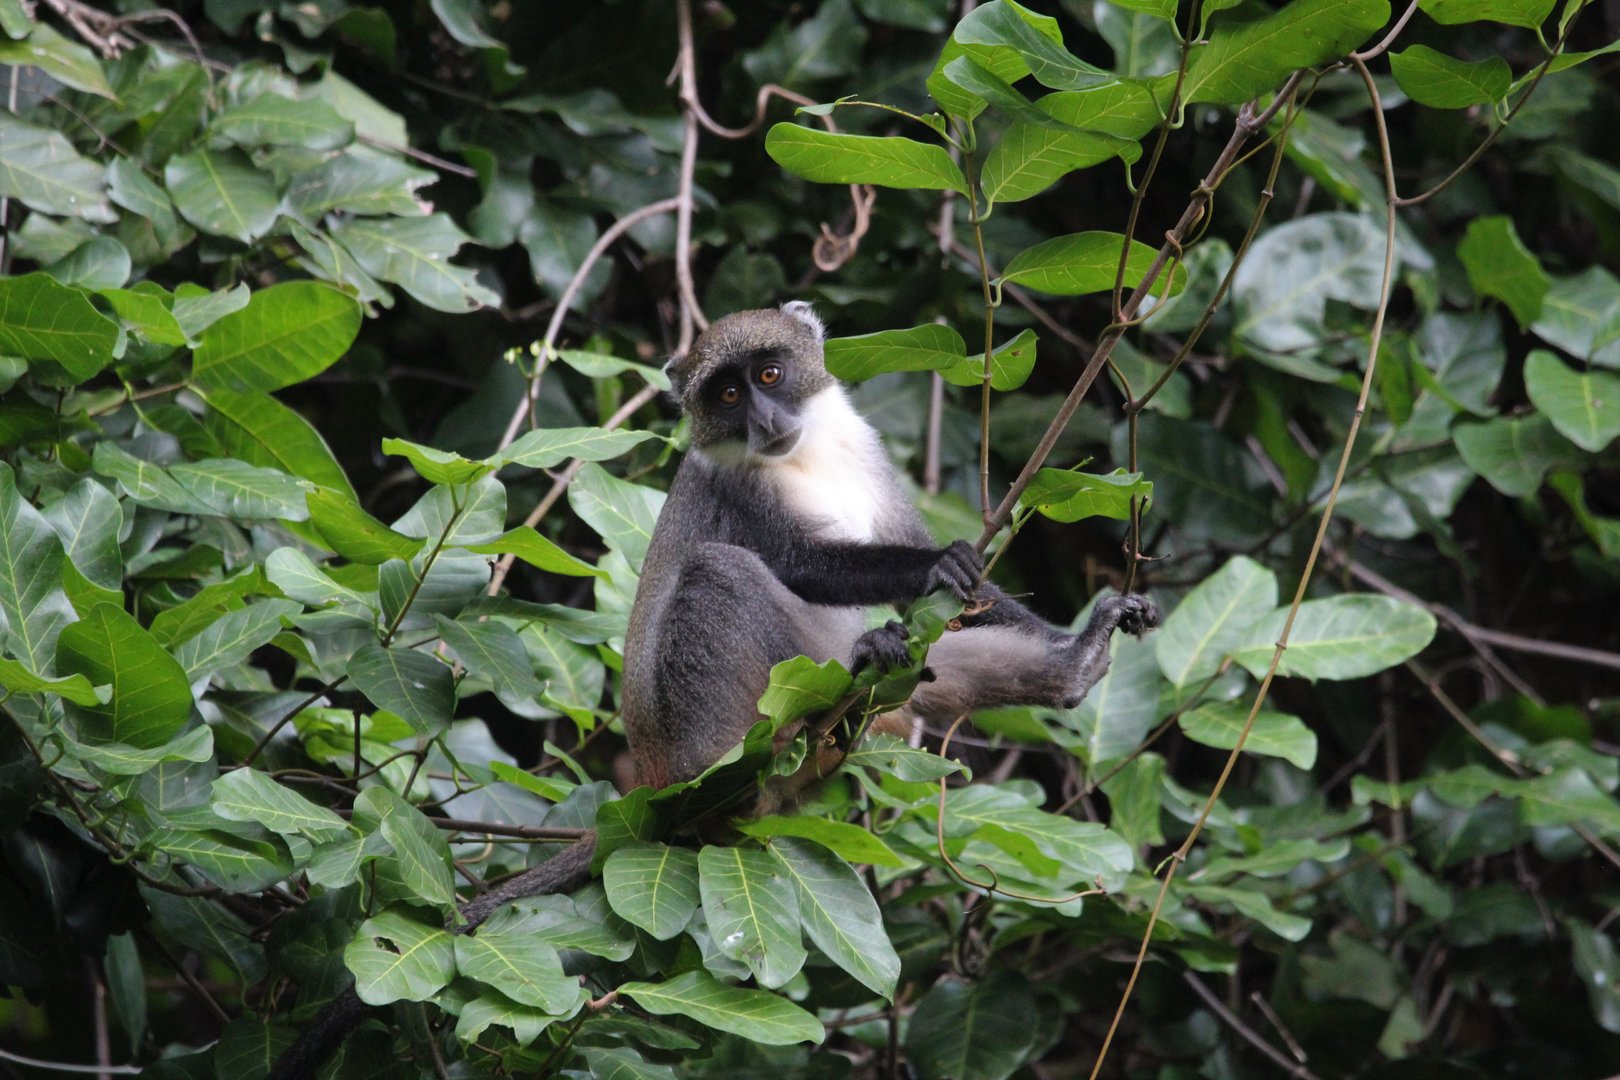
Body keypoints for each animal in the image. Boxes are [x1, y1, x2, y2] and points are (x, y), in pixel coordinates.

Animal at [268, 302, 1155, 1079]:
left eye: (768, 373)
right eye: (725, 397)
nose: (762, 420)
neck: (803, 457)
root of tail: (659, 781)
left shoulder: (867, 456)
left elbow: (964, 597)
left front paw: (997, 598)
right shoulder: (739, 492)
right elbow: (799, 563)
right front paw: (935, 565)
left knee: (934, 664)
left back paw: (1069, 668)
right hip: (719, 725)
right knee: (720, 574)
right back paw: (847, 685)